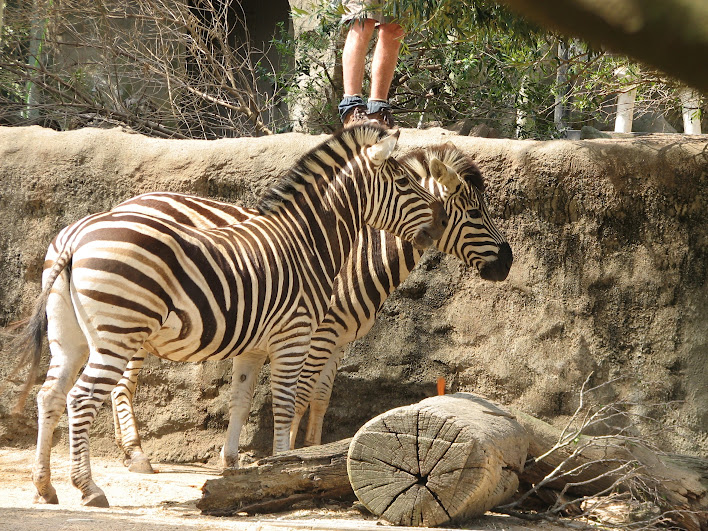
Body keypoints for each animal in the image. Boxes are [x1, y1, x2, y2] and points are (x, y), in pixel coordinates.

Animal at [7, 125, 449, 507]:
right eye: (404, 182)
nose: (440, 223)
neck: (306, 241)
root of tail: (77, 236)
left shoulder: (253, 347)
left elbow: (240, 400)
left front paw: (240, 469)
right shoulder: (295, 336)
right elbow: (285, 404)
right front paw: (285, 469)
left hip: (70, 336)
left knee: (50, 395)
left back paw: (44, 487)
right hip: (118, 332)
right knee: (81, 398)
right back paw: (89, 488)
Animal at [103, 141, 511, 472]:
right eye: (475, 213)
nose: (508, 262)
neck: (356, 254)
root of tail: (125, 203)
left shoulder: (339, 339)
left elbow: (320, 398)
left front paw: (317, 453)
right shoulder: (314, 334)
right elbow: (298, 398)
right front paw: (290, 461)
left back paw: (125, 450)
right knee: (122, 384)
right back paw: (136, 455)